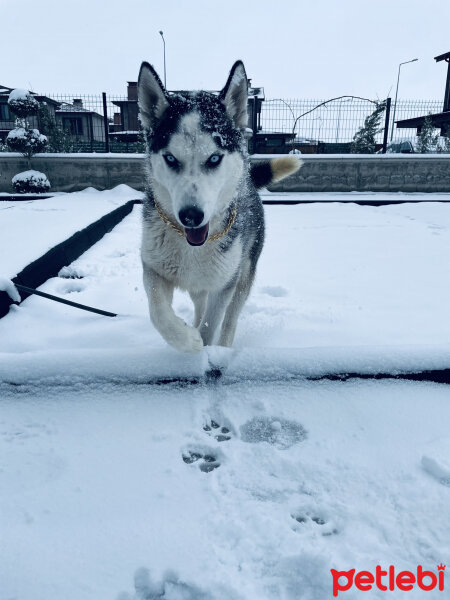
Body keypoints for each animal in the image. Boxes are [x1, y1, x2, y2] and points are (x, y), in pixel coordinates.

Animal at [137, 61, 298, 352]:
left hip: (242, 275)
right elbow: (157, 311)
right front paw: (187, 339)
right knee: (199, 304)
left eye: (213, 158)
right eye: (170, 158)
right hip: (200, 283)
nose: (191, 216)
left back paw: (223, 348)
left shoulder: (225, 284)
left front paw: (203, 345)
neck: (190, 246)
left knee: (230, 318)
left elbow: (212, 325)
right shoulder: (153, 267)